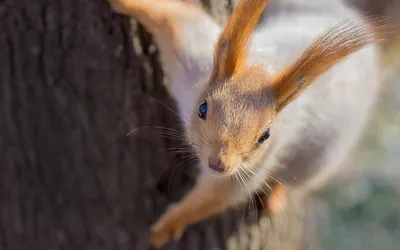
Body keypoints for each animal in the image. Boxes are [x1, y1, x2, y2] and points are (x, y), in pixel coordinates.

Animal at [104, 0, 390, 247]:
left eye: (265, 135)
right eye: (203, 109)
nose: (218, 163)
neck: (266, 69)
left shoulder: (255, 164)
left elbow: (220, 194)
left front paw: (170, 223)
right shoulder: (194, 61)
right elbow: (176, 20)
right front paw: (127, 3)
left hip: (318, 160)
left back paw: (276, 195)